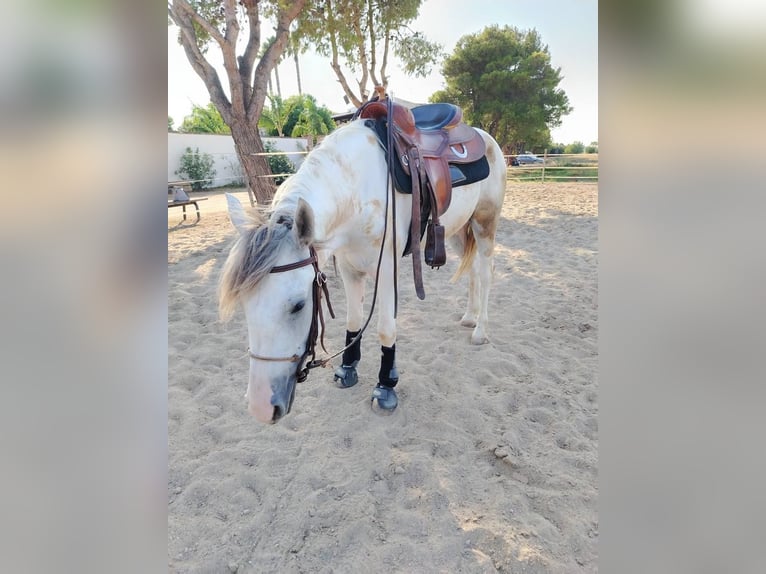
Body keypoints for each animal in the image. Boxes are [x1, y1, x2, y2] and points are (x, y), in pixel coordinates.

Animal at [219, 119, 508, 426]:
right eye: (244, 304)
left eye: (298, 306)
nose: (261, 407)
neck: (357, 191)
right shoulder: (349, 269)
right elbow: (353, 321)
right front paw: (347, 370)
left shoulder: (387, 272)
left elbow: (385, 330)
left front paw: (386, 386)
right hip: (456, 231)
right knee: (473, 269)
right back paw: (469, 317)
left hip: (484, 224)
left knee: (486, 272)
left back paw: (480, 330)